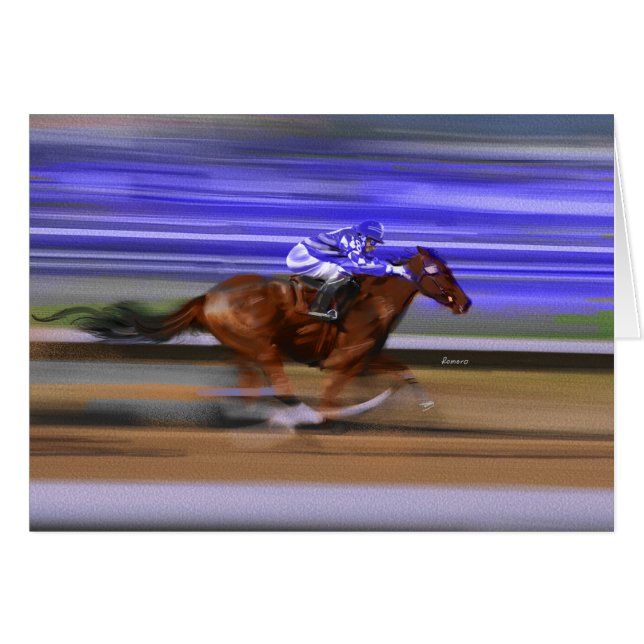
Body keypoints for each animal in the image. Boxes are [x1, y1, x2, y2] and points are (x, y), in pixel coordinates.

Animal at [33, 246, 472, 427]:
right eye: (442, 273)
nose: (466, 303)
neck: (372, 302)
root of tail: (209, 296)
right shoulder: (344, 362)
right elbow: (333, 399)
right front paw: (335, 417)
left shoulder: (364, 359)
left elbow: (404, 370)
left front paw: (430, 408)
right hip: (262, 346)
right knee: (279, 387)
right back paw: (295, 416)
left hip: (243, 349)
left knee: (248, 387)